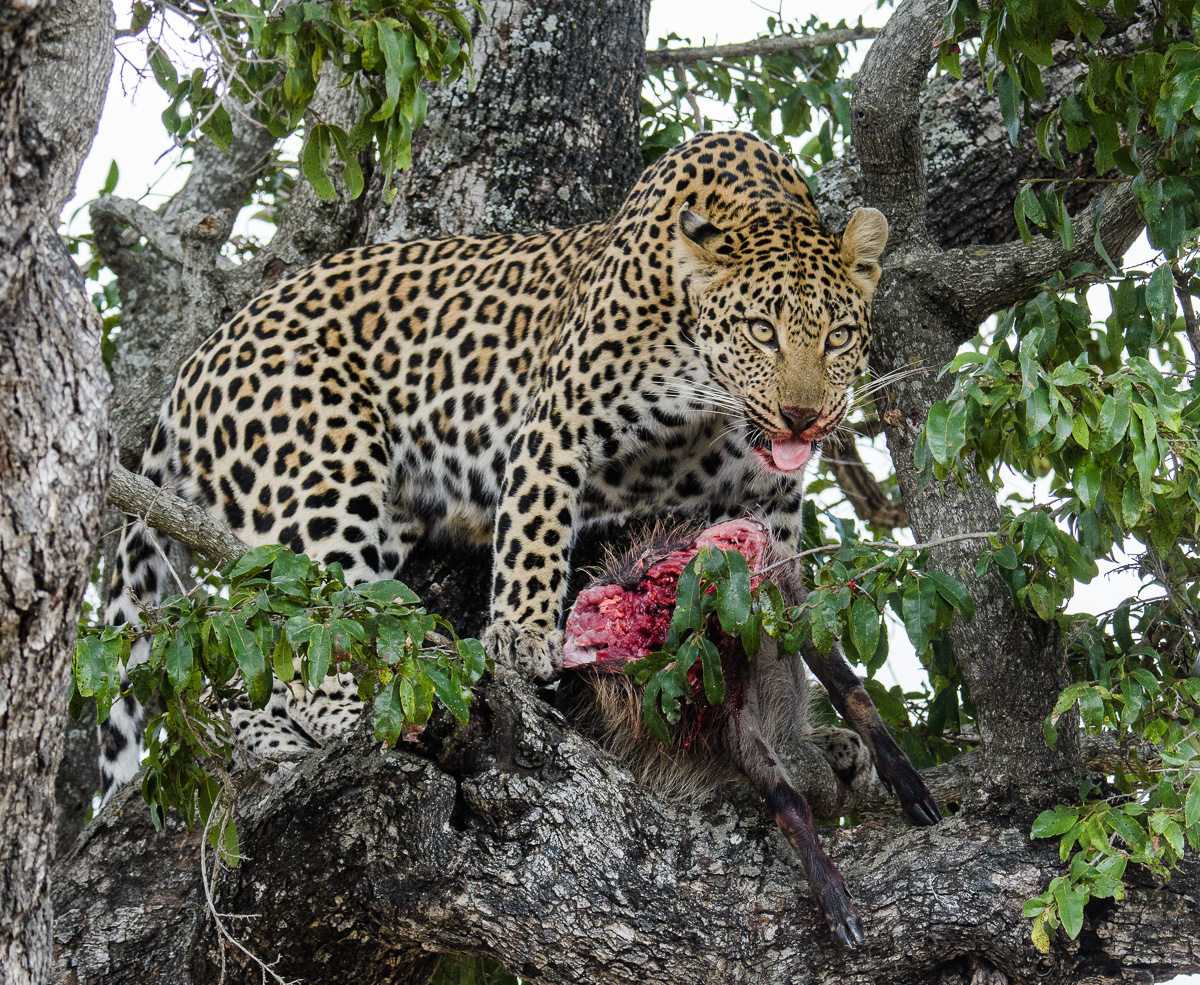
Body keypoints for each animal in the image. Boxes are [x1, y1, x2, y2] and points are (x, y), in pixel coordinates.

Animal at [99, 130, 889, 801]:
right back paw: (362, 717)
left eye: (838, 337)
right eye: (761, 331)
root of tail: (193, 366)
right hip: (321, 475)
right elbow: (534, 535)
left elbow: (780, 636)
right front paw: (521, 636)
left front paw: (810, 745)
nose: (802, 416)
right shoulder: (559, 424)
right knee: (304, 633)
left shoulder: (766, 500)